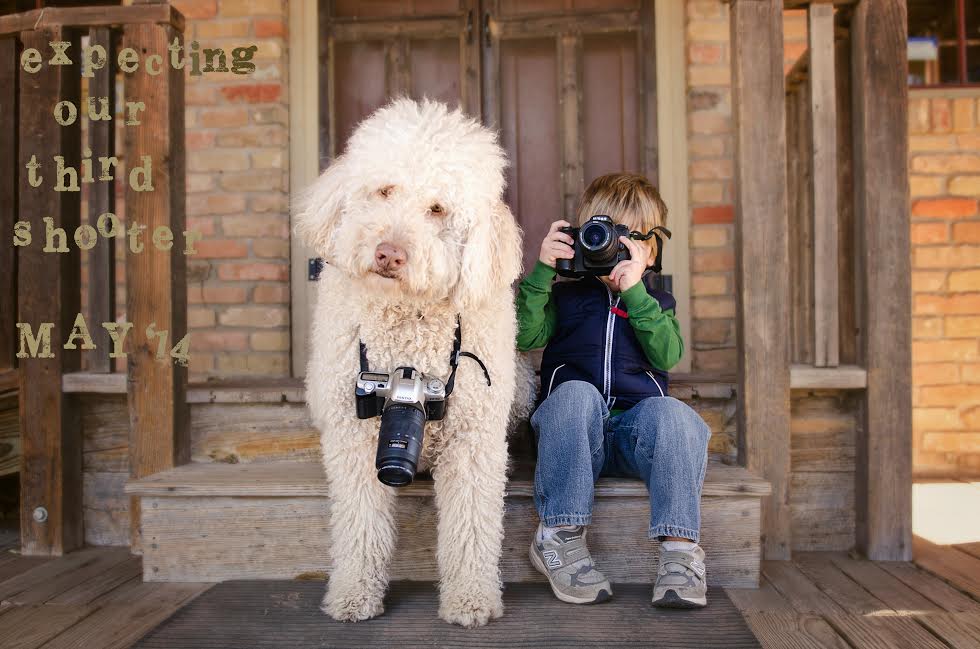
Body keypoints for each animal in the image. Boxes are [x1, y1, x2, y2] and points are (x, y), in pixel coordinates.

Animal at [296, 98, 528, 624]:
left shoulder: (473, 439)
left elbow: (472, 526)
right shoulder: (354, 436)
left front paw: (471, 599)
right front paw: (353, 595)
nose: (390, 254)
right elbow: (360, 524)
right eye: (385, 190)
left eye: (437, 208)